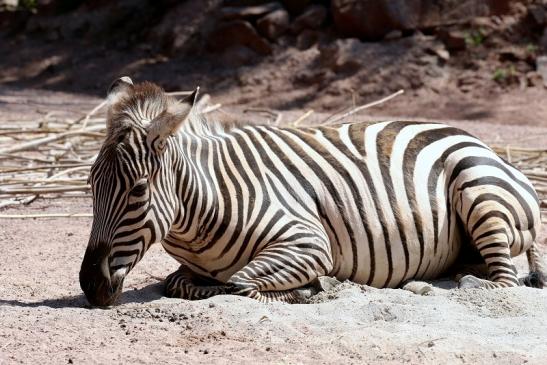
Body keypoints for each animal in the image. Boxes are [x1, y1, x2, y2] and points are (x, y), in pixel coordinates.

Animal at [79, 77, 544, 304]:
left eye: (138, 190)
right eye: (90, 184)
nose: (89, 286)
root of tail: (480, 142)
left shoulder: (308, 242)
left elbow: (239, 283)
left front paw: (314, 288)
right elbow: (180, 284)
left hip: (477, 186)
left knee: (504, 282)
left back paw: (455, 286)